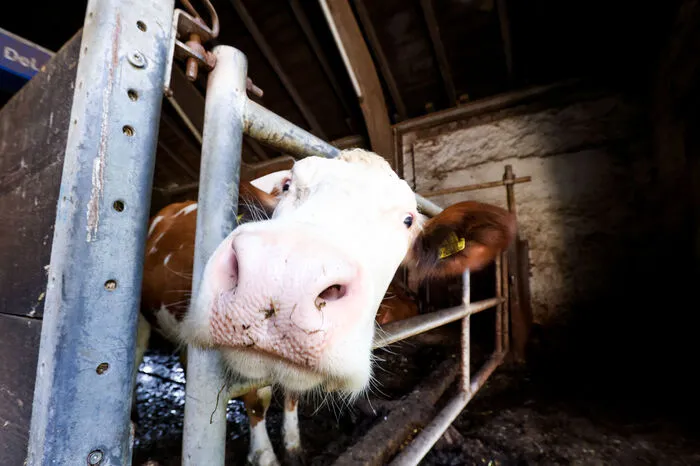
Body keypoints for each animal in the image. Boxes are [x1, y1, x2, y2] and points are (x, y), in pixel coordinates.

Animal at [136, 148, 516, 465]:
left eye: (408, 220)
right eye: (288, 185)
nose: (282, 277)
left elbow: (291, 395)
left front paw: (293, 446)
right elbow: (257, 400)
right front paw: (266, 457)